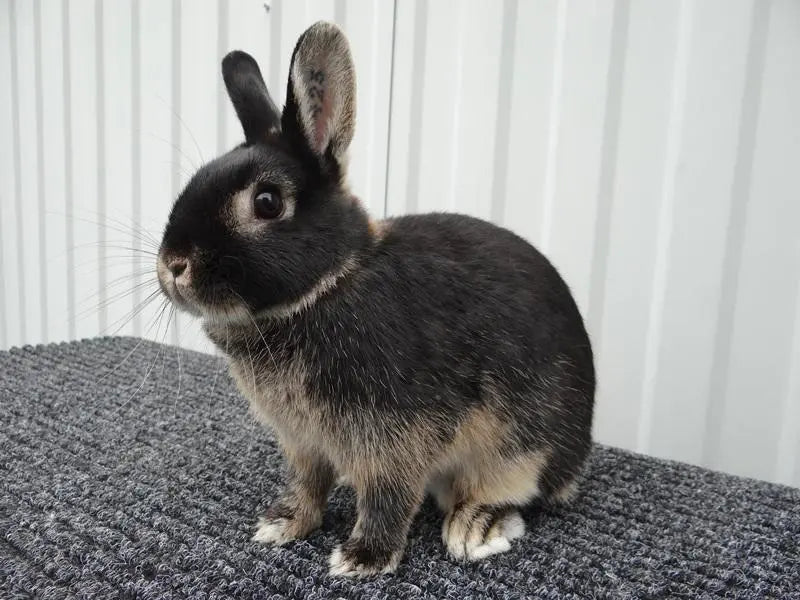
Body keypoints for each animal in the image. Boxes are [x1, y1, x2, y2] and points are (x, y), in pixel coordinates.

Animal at [156, 21, 595, 577]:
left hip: (521, 450)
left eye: (267, 202)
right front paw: (282, 524)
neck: (326, 286)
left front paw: (362, 558)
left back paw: (475, 528)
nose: (173, 264)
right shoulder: (304, 443)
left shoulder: (396, 438)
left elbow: (388, 497)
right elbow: (309, 484)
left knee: (514, 492)